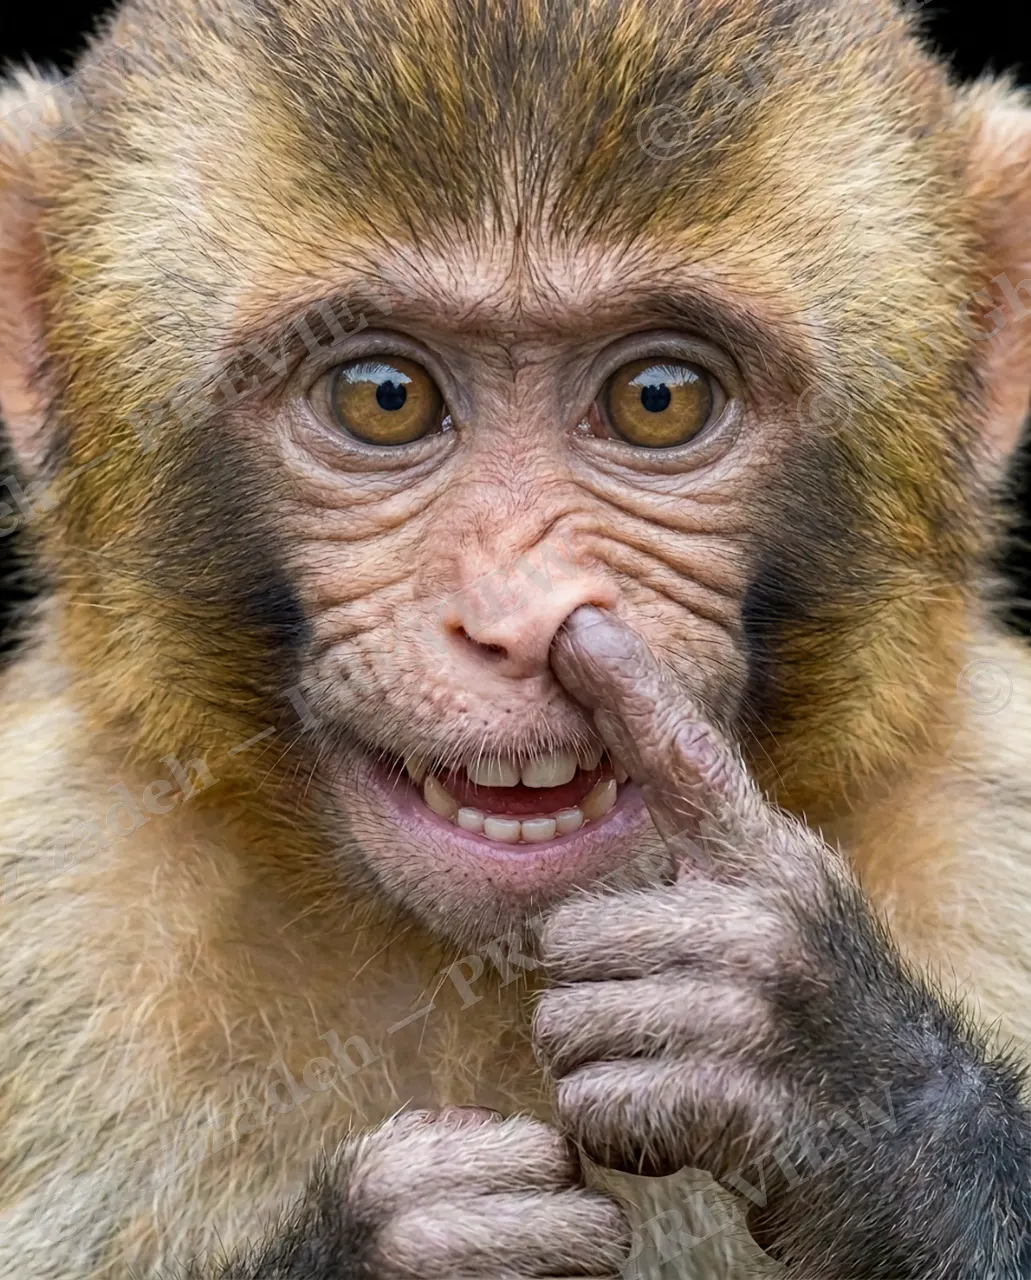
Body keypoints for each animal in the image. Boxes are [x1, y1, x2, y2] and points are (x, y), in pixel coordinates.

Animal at [2, 0, 1031, 1274]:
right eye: (383, 395)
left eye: (657, 399)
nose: (518, 615)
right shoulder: (46, 878)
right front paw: (386, 1246)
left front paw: (831, 1061)